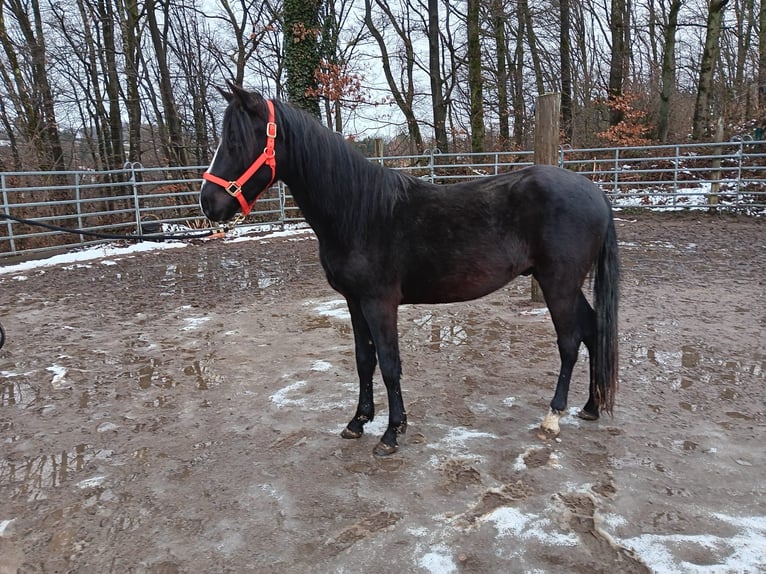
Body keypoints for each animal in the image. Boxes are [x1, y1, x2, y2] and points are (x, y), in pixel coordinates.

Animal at [200, 84, 620, 456]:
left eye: (235, 141)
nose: (208, 203)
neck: (358, 211)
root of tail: (596, 192)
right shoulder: (354, 302)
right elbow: (363, 360)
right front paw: (357, 422)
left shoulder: (379, 303)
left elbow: (389, 363)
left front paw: (391, 433)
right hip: (564, 285)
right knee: (592, 330)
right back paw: (591, 408)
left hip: (558, 283)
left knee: (569, 341)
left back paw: (554, 416)